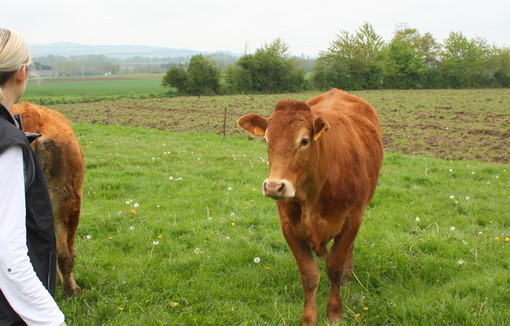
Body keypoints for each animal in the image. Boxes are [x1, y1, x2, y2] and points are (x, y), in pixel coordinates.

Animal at [239, 88, 382, 324]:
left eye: (304, 140)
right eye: (266, 139)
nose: (274, 186)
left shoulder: (352, 220)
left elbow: (334, 267)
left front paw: (334, 313)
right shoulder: (289, 227)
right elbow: (309, 274)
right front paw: (309, 318)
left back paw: (348, 276)